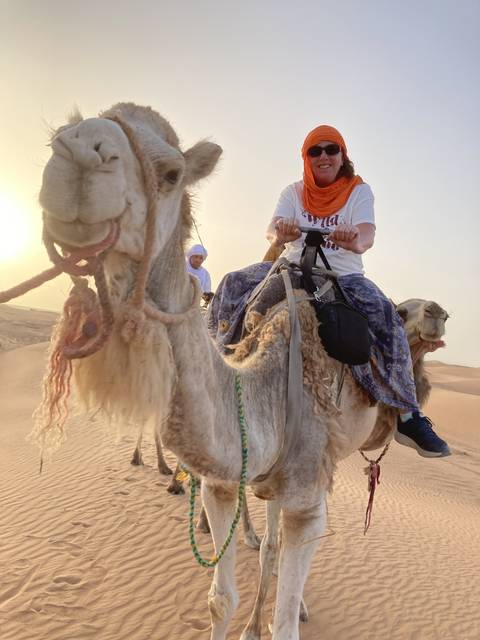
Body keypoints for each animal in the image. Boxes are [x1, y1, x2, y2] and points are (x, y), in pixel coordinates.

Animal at [35, 102, 447, 640]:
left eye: (171, 173)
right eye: (57, 138)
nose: (80, 152)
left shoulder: (306, 494)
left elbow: (285, 616)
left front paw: (280, 614)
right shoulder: (223, 482)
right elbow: (219, 599)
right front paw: (243, 616)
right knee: (271, 532)